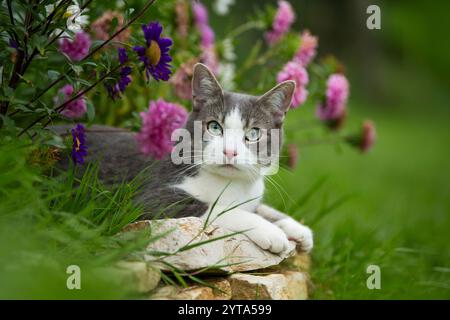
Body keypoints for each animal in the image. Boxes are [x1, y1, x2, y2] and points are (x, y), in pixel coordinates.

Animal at [55, 63, 312, 255]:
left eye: (254, 134)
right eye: (214, 127)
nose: (230, 151)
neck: (229, 183)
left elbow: (259, 207)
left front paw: (295, 226)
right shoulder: (144, 200)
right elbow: (216, 209)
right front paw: (271, 231)